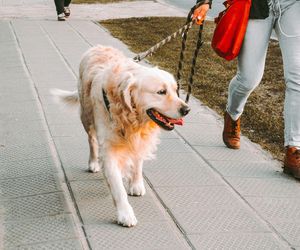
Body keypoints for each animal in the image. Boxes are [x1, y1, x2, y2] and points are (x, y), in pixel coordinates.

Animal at [52, 45, 190, 227]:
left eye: (176, 90)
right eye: (161, 92)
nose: (187, 109)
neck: (130, 117)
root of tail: (98, 46)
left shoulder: (139, 140)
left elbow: (138, 162)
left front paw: (136, 184)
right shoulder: (109, 150)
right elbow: (118, 187)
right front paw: (125, 214)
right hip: (86, 117)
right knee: (91, 140)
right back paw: (93, 163)